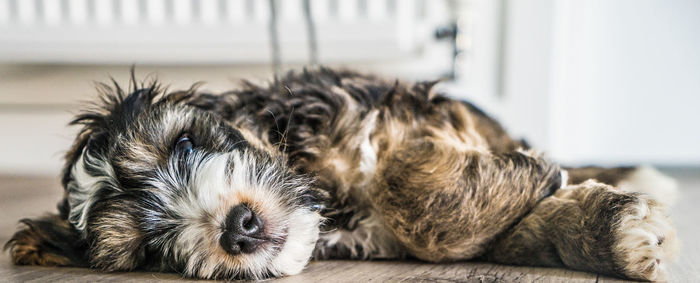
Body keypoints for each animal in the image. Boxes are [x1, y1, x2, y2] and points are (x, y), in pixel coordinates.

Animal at [5, 68, 680, 282]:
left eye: (186, 144)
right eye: (149, 249)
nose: (238, 228)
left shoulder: (398, 107)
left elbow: (404, 176)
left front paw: (549, 180)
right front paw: (608, 227)